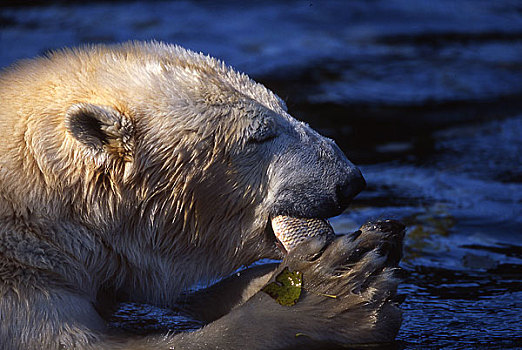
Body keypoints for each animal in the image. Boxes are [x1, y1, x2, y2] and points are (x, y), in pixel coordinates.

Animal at [0, 42, 402, 348]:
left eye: (286, 109)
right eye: (260, 135)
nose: (349, 180)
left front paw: (372, 248)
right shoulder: (23, 290)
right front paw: (332, 292)